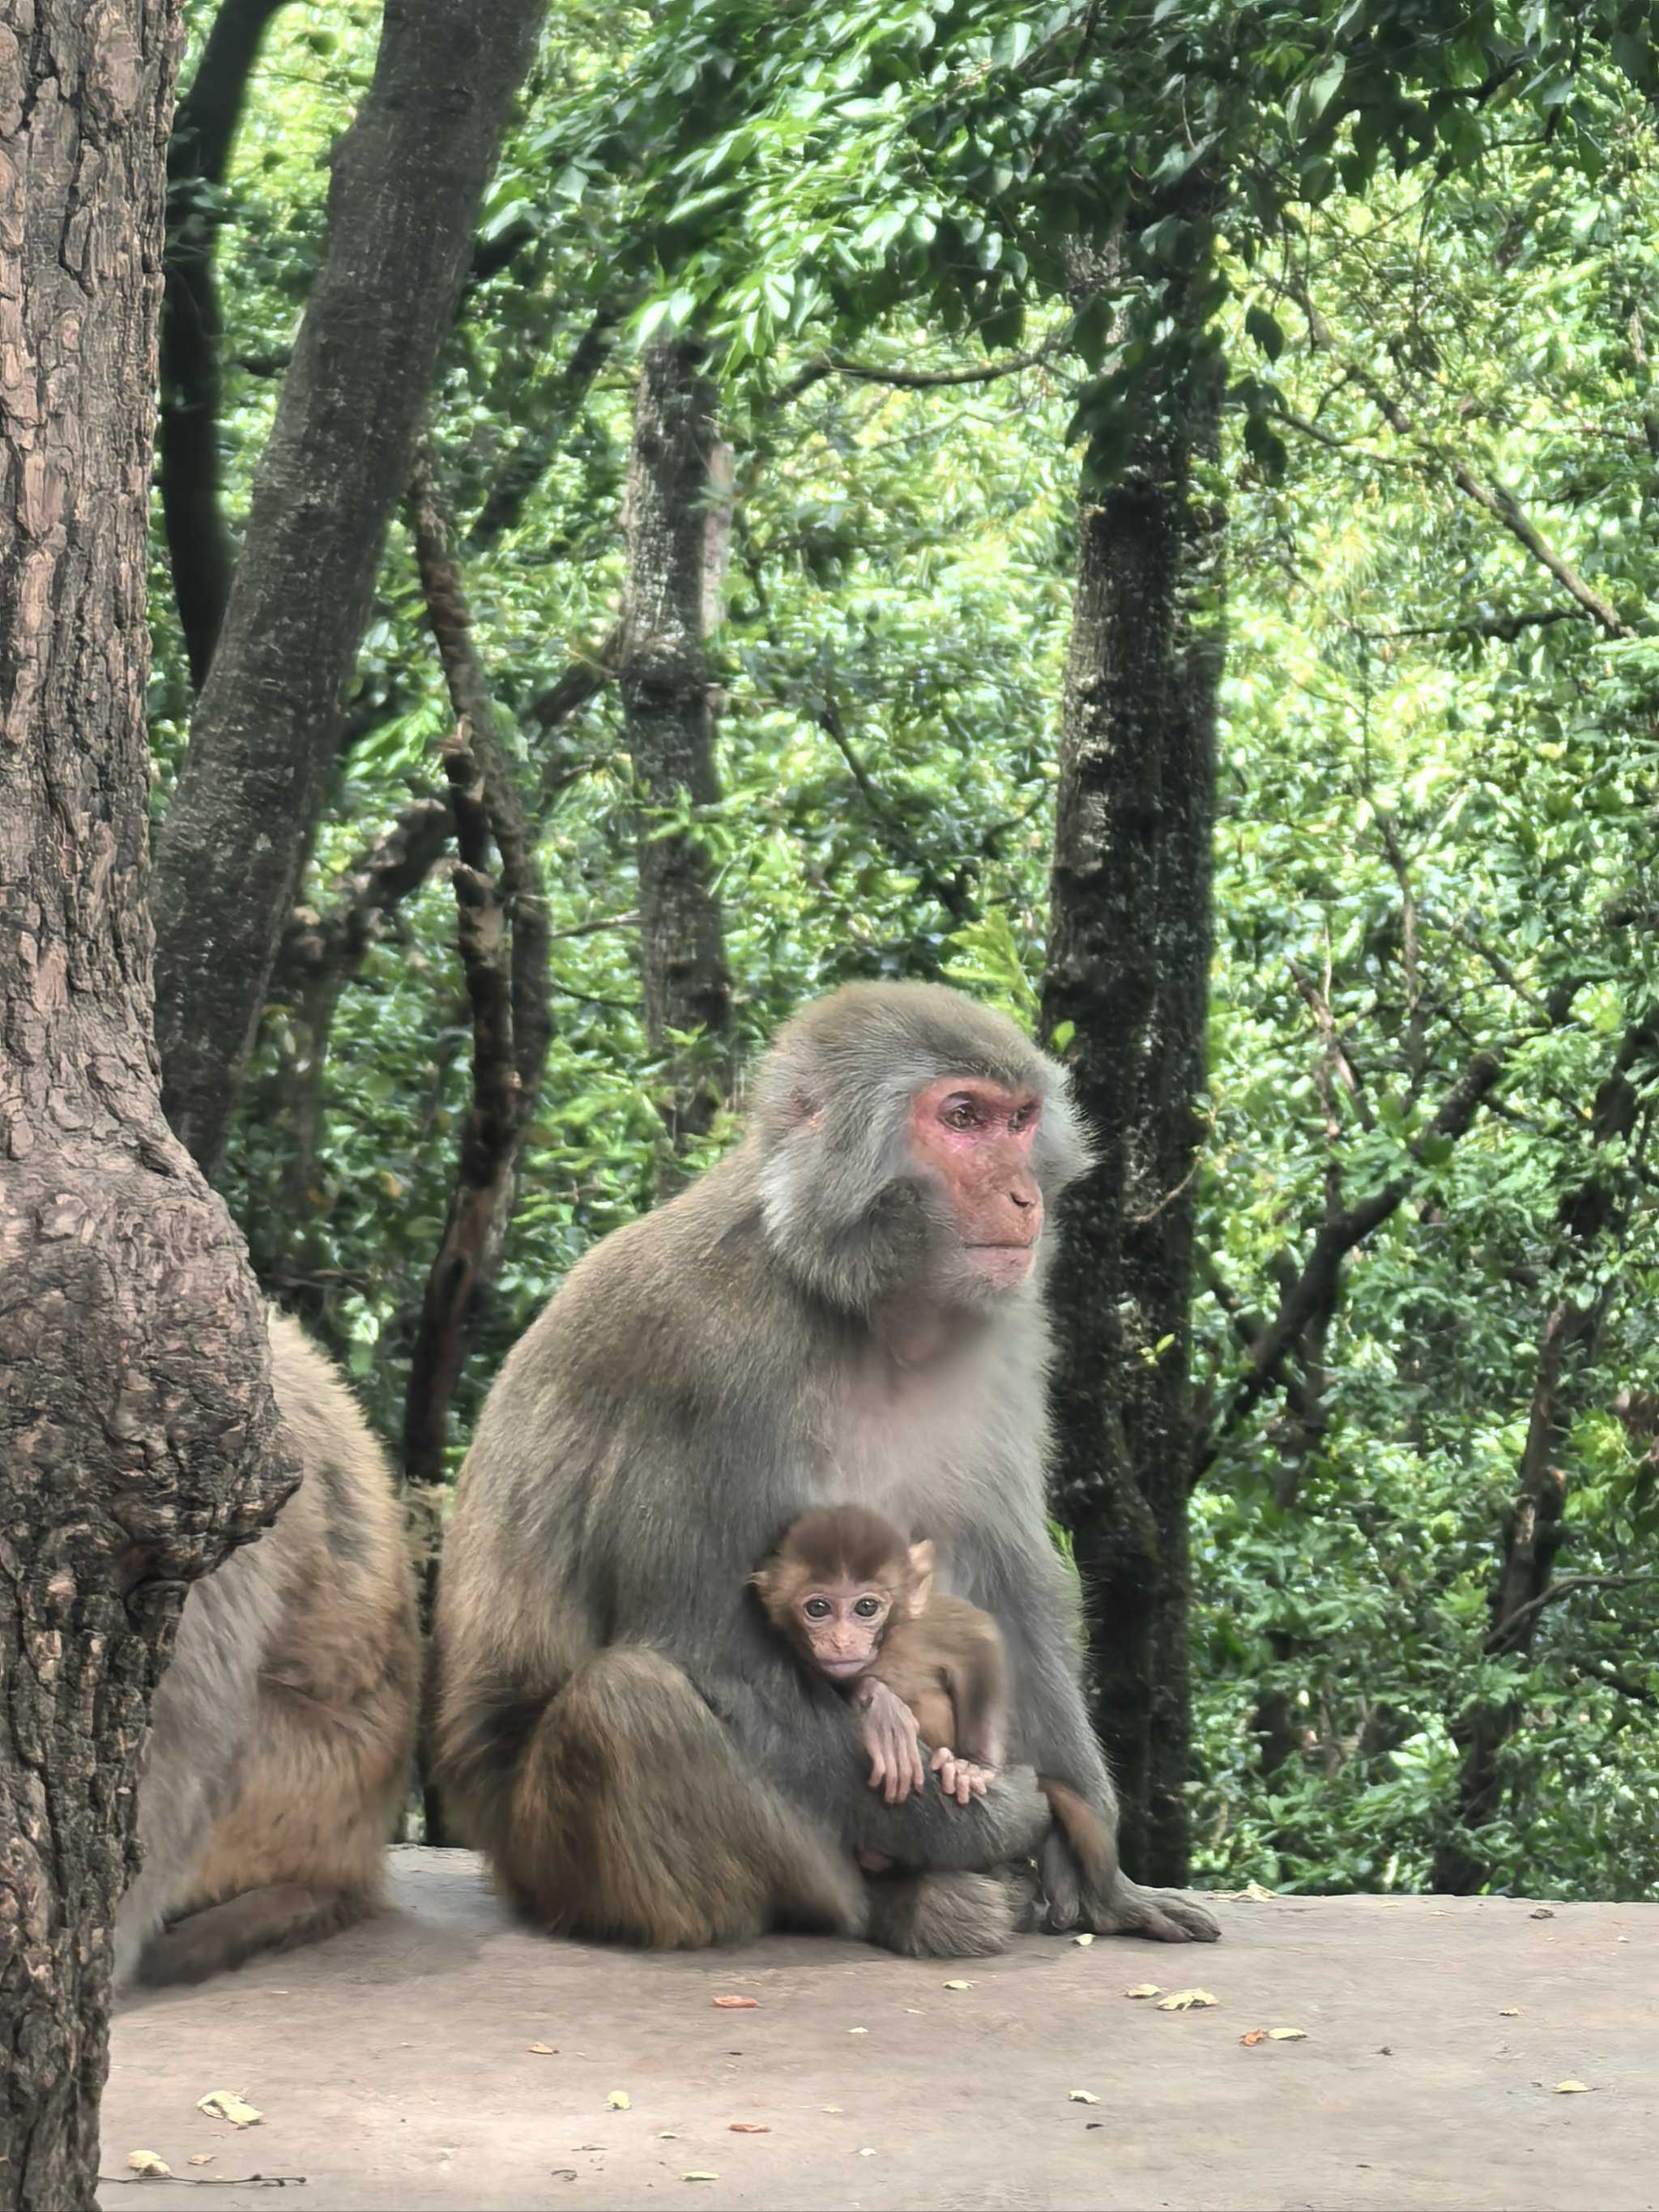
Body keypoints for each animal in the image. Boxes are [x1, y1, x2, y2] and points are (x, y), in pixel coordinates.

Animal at [756, 1504, 1013, 1813]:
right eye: (817, 1608)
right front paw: (880, 1708)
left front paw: (973, 1765)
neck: (882, 1653)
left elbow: (980, 1637)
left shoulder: (917, 1629)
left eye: (867, 1607)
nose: (842, 1641)